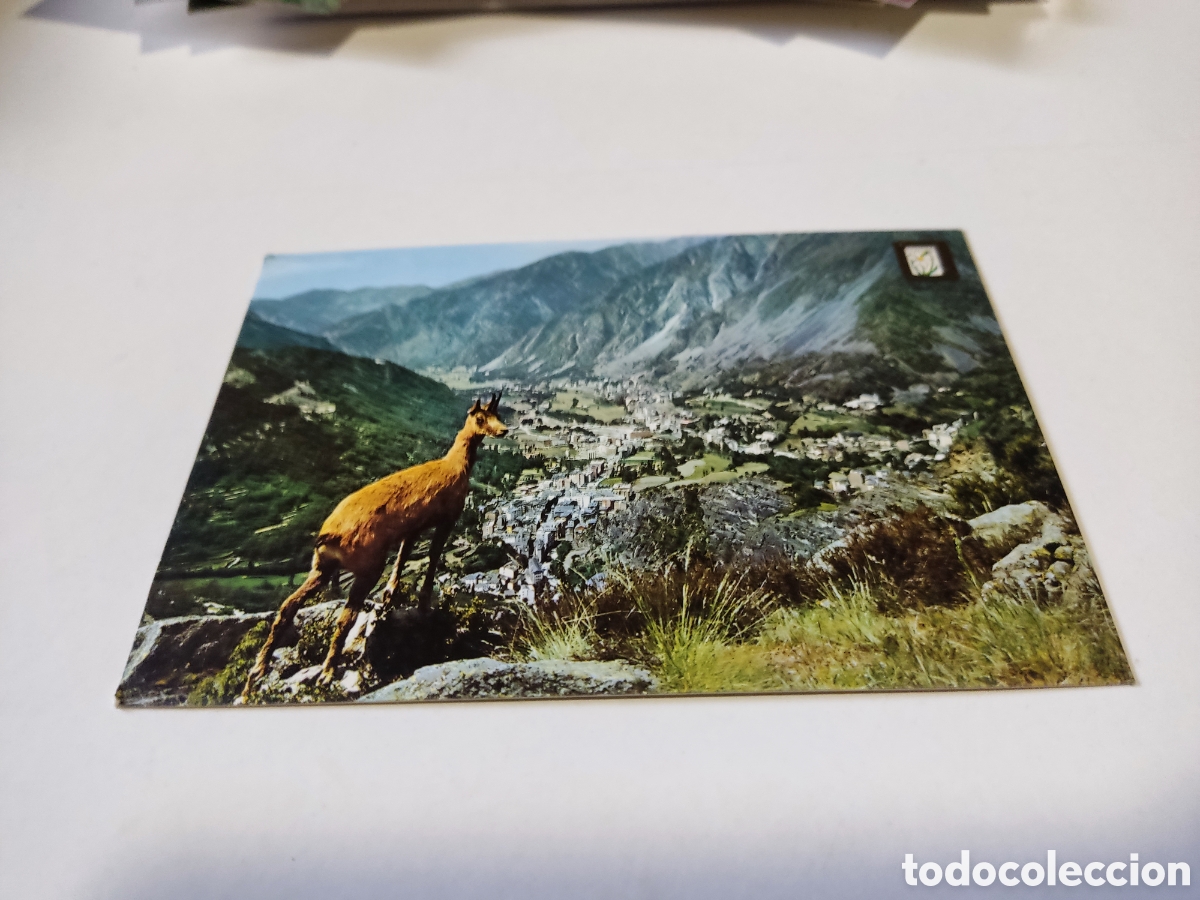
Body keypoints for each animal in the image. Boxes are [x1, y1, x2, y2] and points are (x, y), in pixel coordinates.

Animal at [240, 391, 508, 702]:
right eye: (481, 418)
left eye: (498, 414)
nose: (504, 430)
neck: (454, 465)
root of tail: (329, 536)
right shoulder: (448, 517)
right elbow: (432, 556)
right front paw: (423, 603)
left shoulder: (412, 527)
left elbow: (404, 555)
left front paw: (391, 594)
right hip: (367, 565)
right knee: (345, 617)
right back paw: (327, 673)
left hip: (320, 566)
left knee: (287, 606)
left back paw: (256, 673)